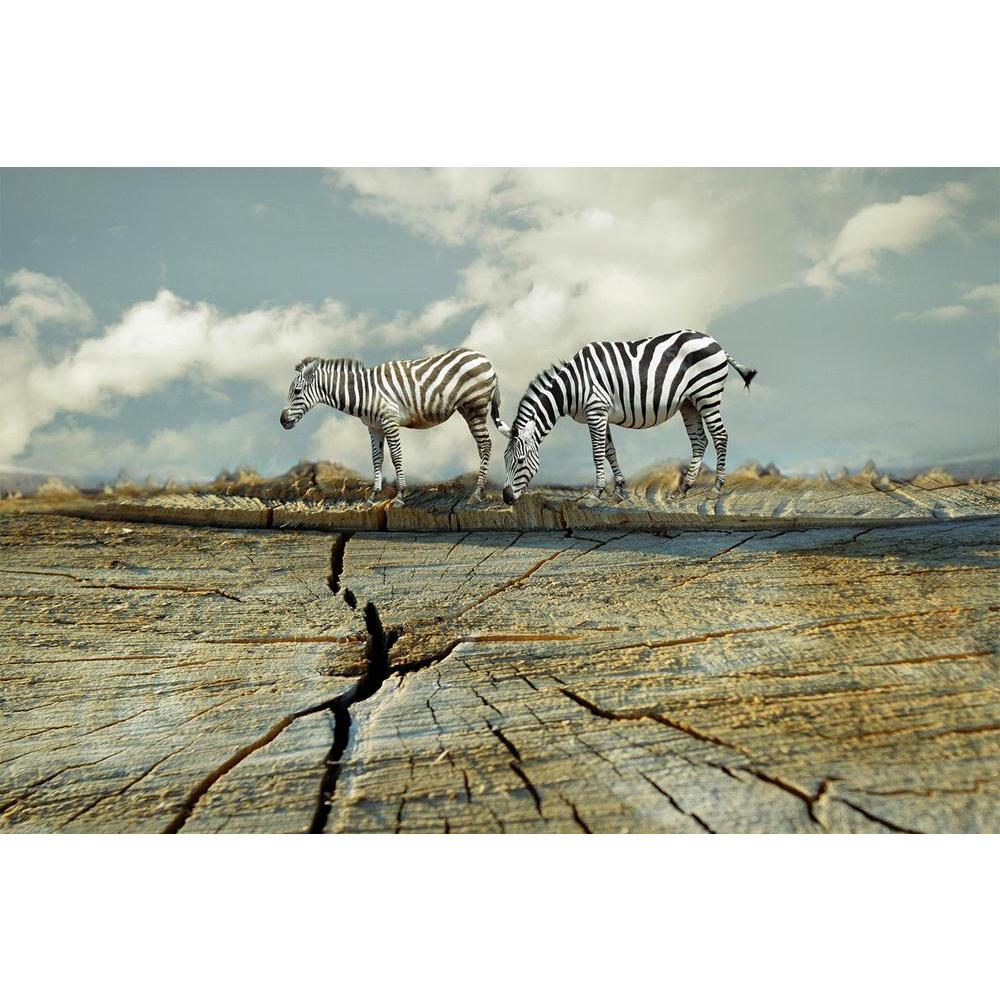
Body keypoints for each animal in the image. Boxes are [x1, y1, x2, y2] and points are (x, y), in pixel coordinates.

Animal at [280, 348, 511, 506]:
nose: (282, 421)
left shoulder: (389, 421)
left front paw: (400, 496)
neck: (365, 392)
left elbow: (396, 456)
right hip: (467, 408)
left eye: (297, 391)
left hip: (475, 407)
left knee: (485, 445)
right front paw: (373, 497)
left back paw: (477, 493)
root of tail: (484, 358)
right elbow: (377, 459)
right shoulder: (374, 427)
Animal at [501, 330, 757, 504]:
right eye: (506, 460)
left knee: (720, 436)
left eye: (521, 461)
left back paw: (716, 489)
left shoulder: (596, 411)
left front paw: (597, 494)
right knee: (700, 441)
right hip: (689, 402)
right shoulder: (601, 414)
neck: (572, 386)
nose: (506, 498)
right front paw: (620, 490)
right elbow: (609, 451)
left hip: (707, 394)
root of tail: (715, 342)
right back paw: (682, 489)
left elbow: (597, 453)